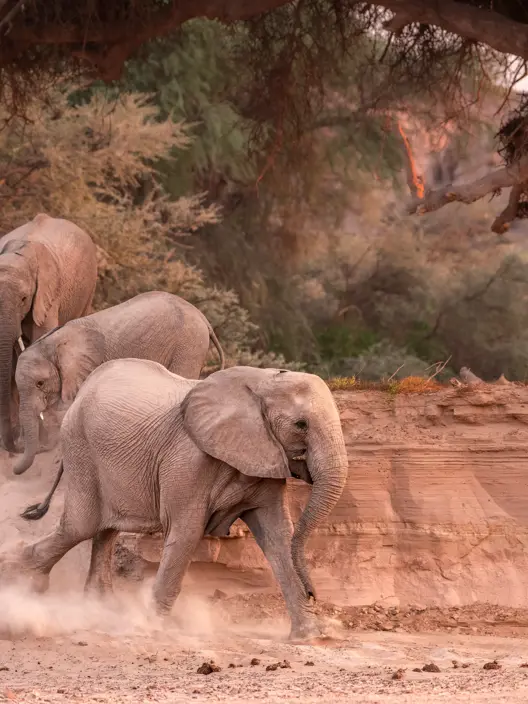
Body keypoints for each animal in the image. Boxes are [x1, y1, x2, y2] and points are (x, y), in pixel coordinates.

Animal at [18, 359, 348, 639]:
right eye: (301, 425)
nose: (314, 593)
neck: (261, 382)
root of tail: (83, 391)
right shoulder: (188, 460)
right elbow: (187, 532)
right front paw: (151, 628)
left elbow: (278, 535)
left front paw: (311, 637)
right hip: (80, 447)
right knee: (82, 525)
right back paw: (25, 584)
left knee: (104, 529)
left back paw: (98, 609)